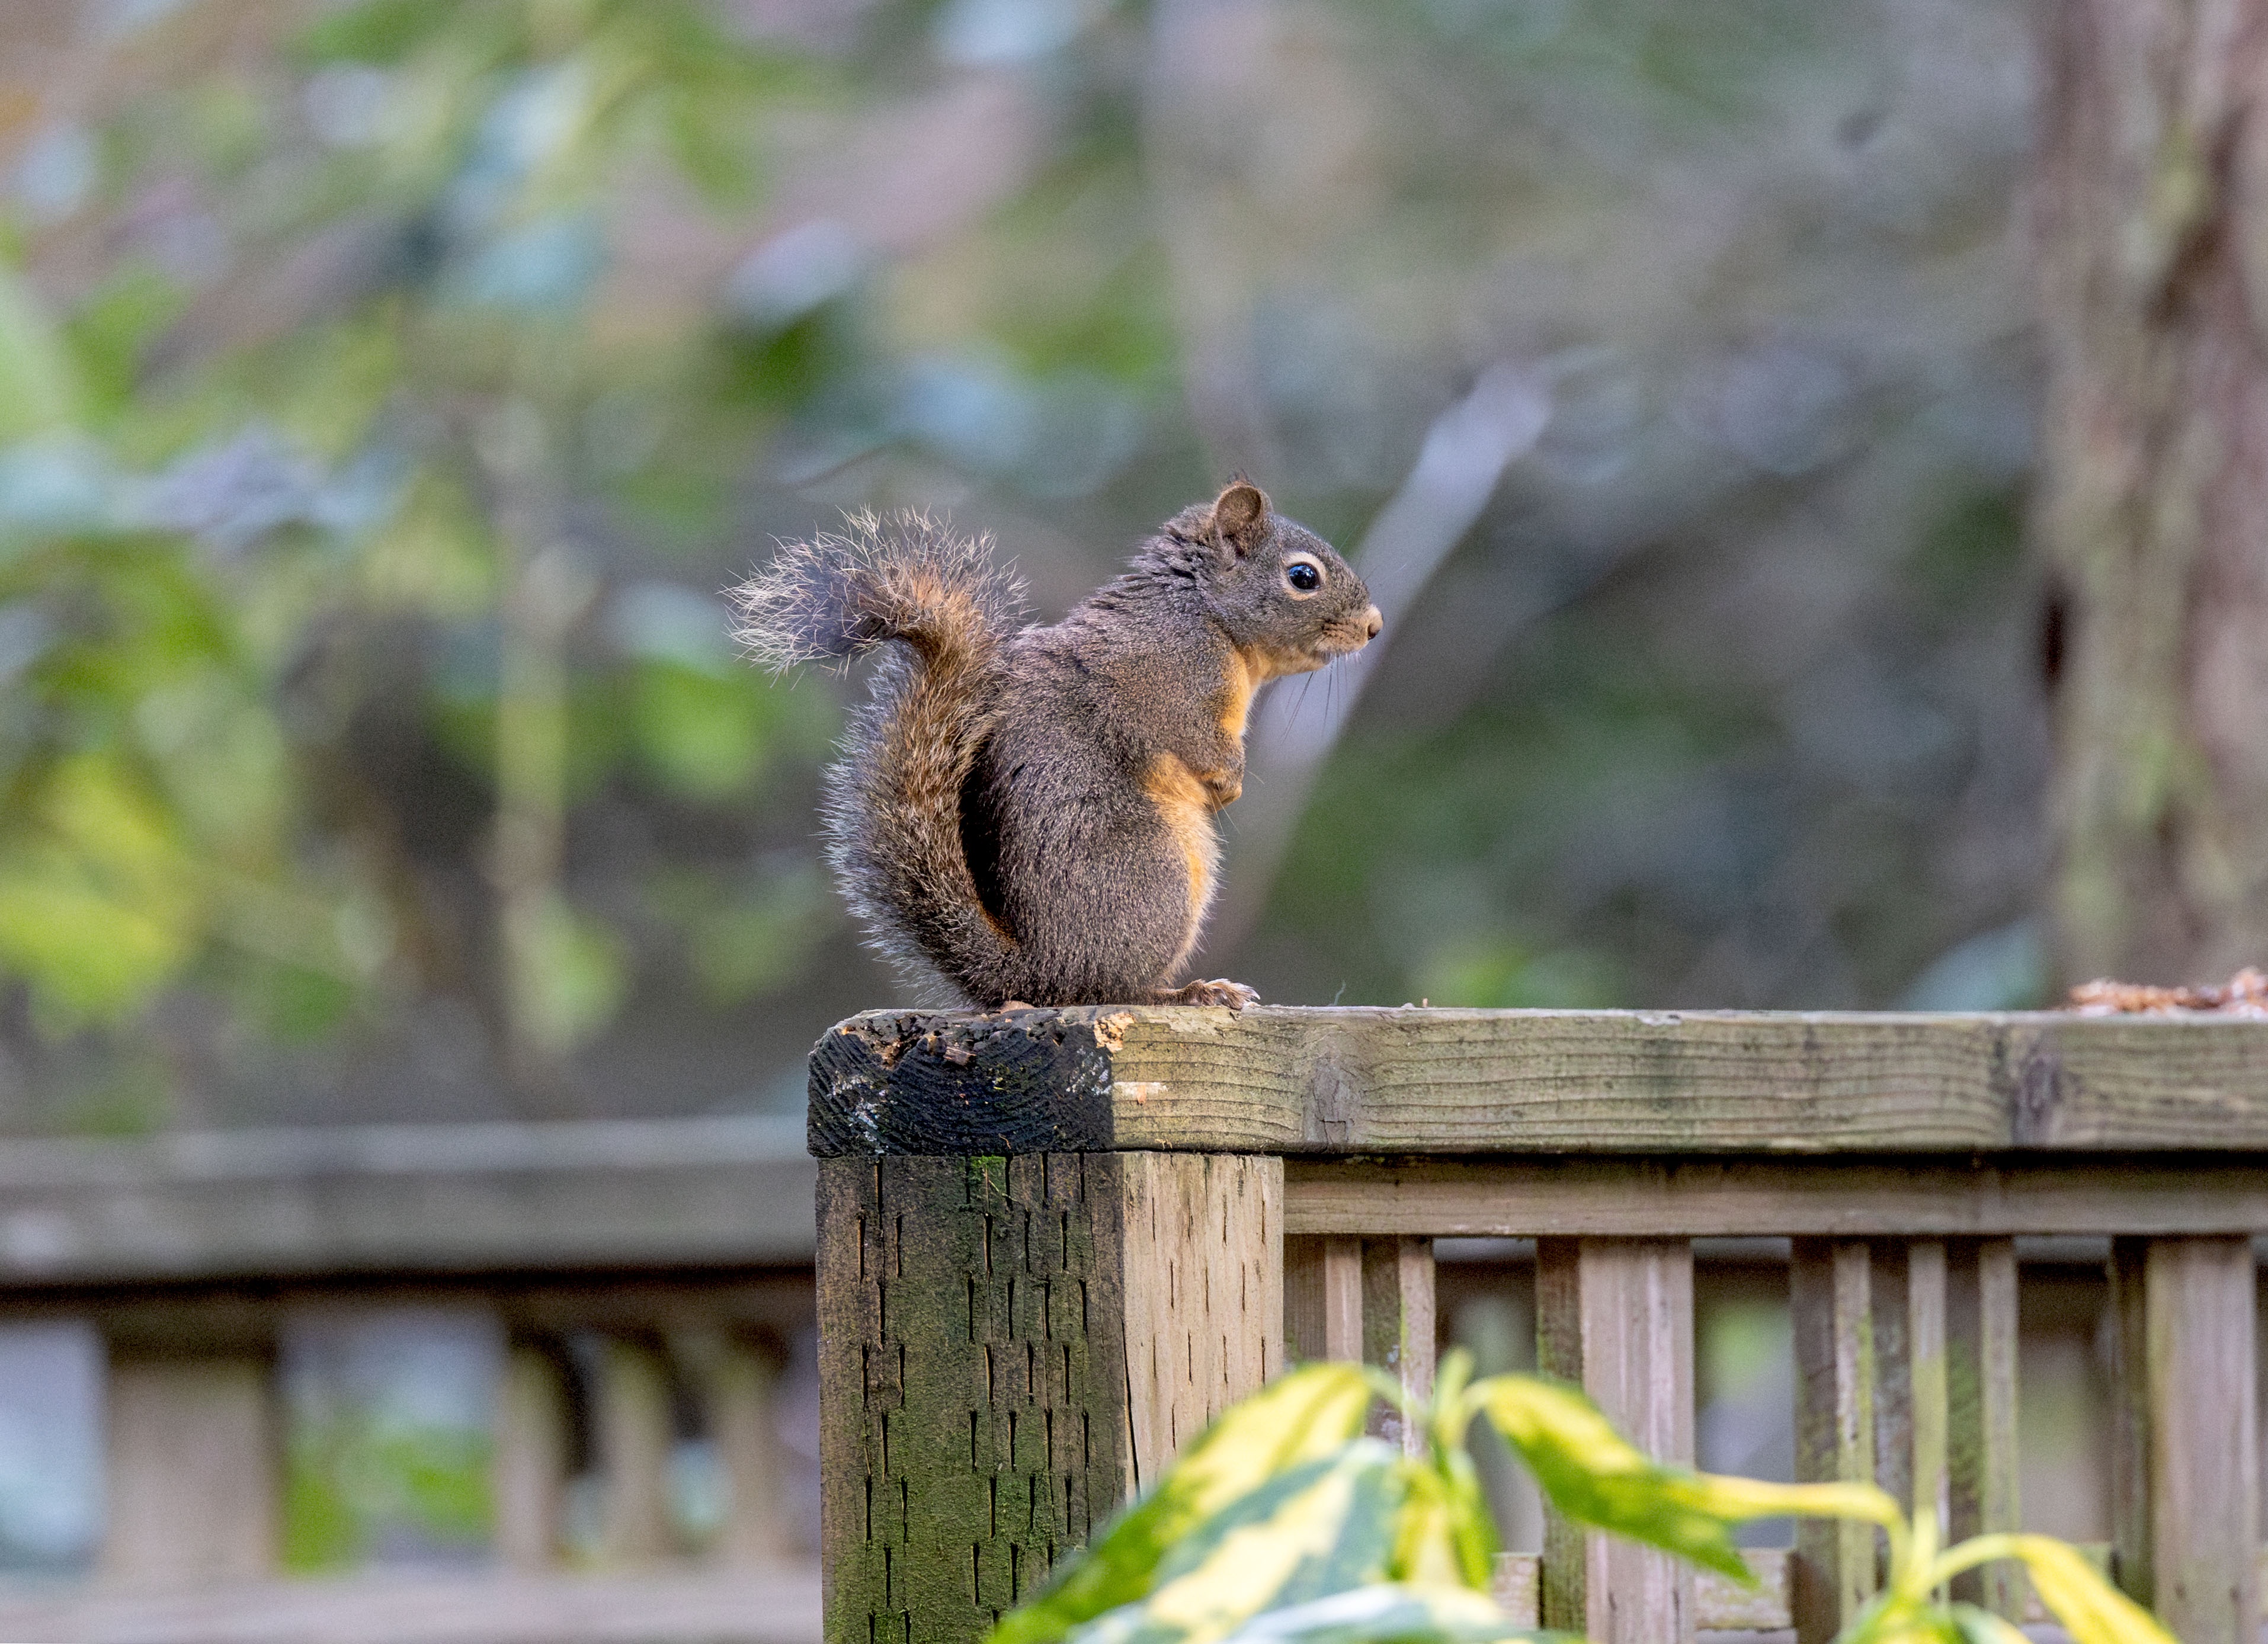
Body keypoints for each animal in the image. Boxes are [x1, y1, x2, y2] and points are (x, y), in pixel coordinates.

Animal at [735, 480, 1379, 1007]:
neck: (1202, 611)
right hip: (1154, 877)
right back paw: (1188, 992)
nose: (1374, 627)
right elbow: (1194, 740)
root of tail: (1037, 974)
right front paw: (1229, 781)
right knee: (1113, 989)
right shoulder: (1168, 682)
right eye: (1303, 577)